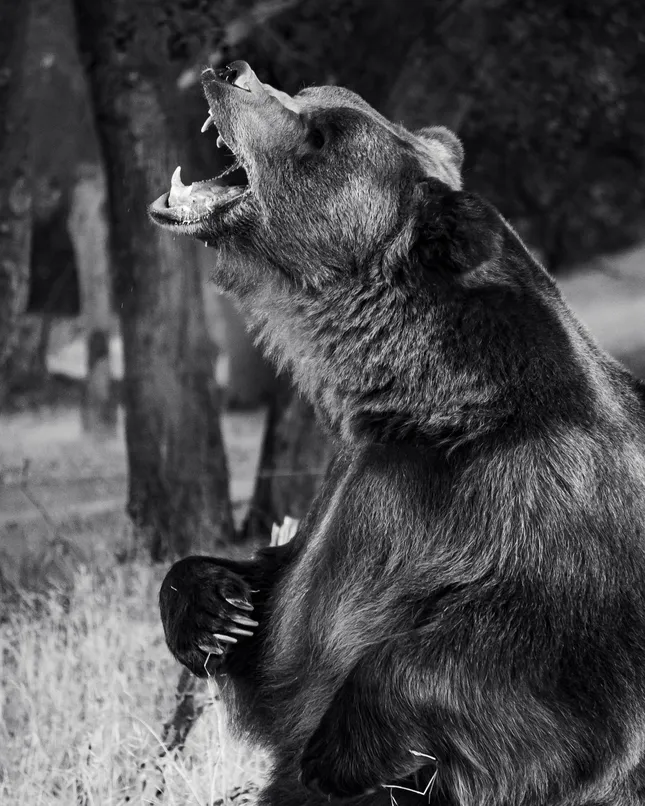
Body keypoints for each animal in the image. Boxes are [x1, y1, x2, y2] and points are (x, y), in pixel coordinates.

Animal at [149, 61, 645, 806]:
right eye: (311, 96)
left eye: (322, 136)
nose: (232, 71)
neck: (425, 404)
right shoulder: (351, 484)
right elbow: (274, 592)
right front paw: (214, 607)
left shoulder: (545, 501)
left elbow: (512, 657)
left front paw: (342, 743)